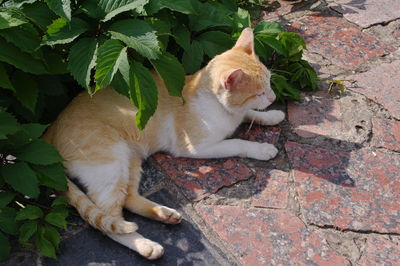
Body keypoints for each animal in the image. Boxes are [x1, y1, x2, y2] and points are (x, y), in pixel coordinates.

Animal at [43, 28, 284, 258]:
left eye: (270, 83)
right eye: (259, 93)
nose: (273, 98)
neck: (219, 107)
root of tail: (51, 129)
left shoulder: (238, 116)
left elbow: (251, 114)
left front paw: (273, 115)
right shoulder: (195, 148)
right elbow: (237, 142)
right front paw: (262, 148)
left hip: (131, 160)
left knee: (128, 199)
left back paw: (164, 214)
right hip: (111, 165)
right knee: (110, 222)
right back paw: (146, 246)